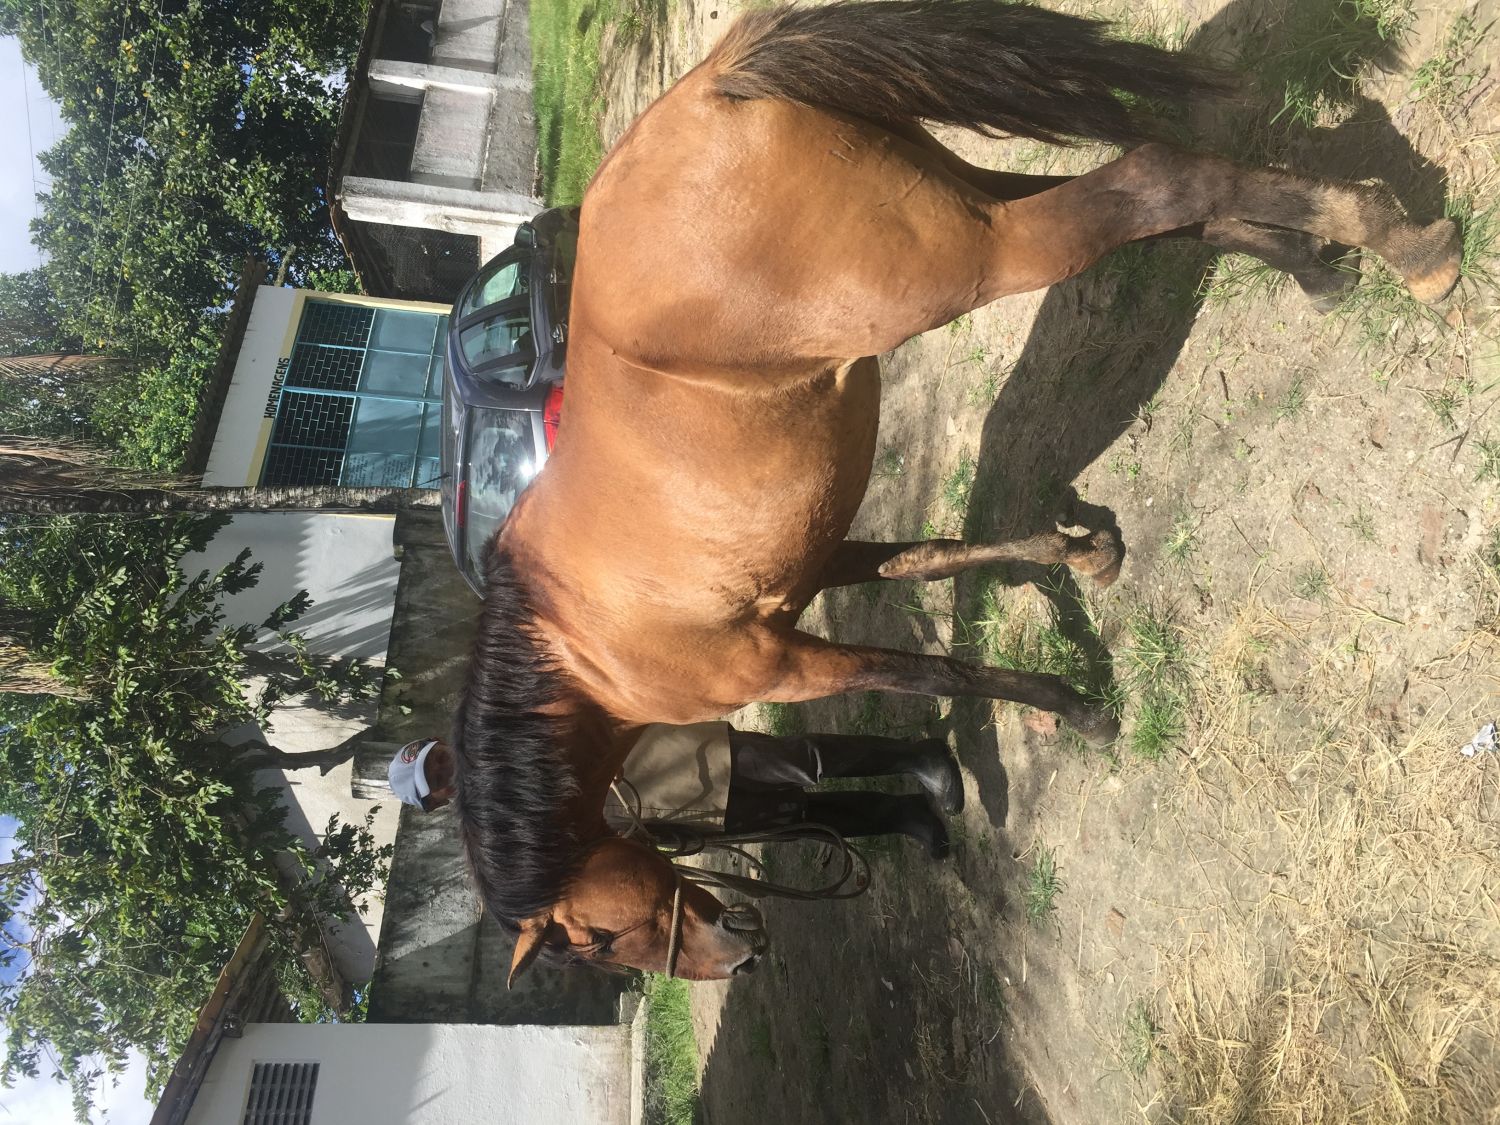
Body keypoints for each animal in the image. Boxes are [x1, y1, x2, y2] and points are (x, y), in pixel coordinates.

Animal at [452, 0, 1462, 984]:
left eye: (597, 939)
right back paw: (1323, 264)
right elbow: (935, 558)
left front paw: (1078, 708)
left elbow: (932, 670)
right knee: (1172, 210)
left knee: (1154, 180)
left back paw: (1411, 250)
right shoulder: (821, 565)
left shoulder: (780, 663)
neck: (577, 644)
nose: (737, 952)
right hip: (964, 199)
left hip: (968, 256)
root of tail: (708, 88)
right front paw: (1079, 554)